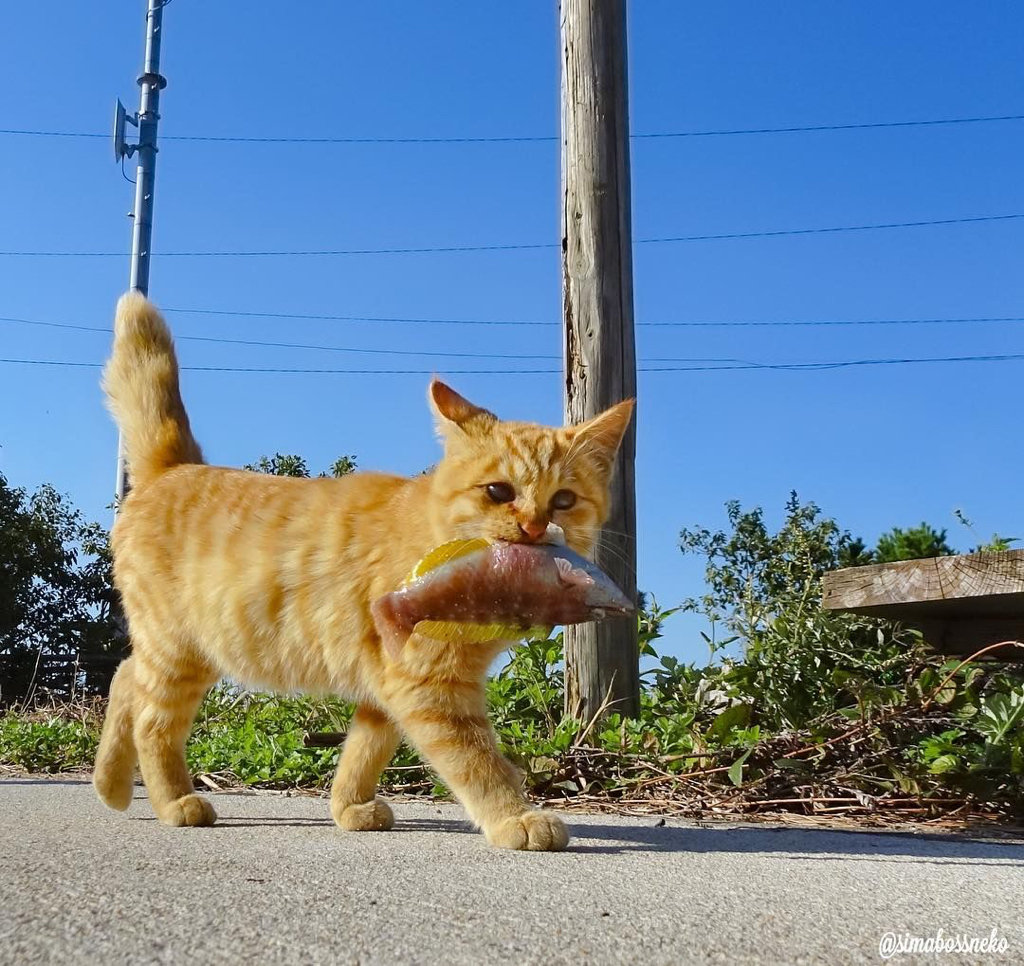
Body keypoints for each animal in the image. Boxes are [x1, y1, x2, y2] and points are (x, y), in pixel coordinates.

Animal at [96, 290, 634, 848]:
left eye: (564, 500)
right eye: (498, 491)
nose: (533, 526)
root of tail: (176, 467)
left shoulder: (390, 685)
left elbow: (364, 750)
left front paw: (348, 806)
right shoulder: (429, 685)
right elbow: (479, 763)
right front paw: (516, 817)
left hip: (189, 650)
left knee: (123, 679)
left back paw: (111, 785)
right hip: (178, 651)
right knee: (151, 721)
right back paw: (173, 801)